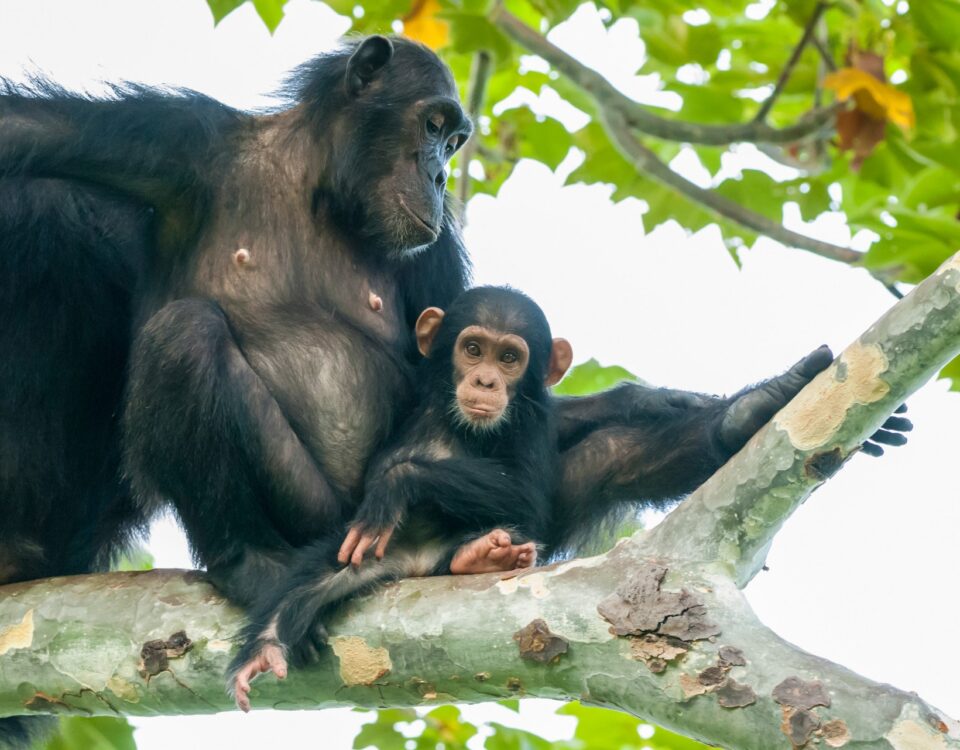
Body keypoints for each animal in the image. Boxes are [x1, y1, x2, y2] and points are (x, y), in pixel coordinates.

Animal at [229, 284, 572, 712]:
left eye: (509, 358)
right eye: (473, 349)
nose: (486, 381)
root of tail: (417, 562)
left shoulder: (537, 423)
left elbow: (527, 495)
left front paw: (396, 485)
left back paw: (484, 555)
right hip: (371, 553)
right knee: (315, 575)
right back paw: (266, 645)